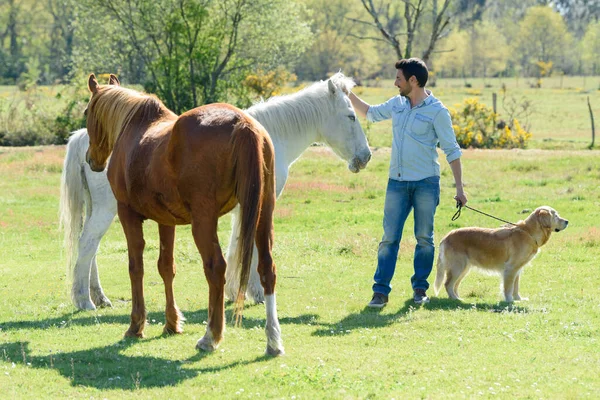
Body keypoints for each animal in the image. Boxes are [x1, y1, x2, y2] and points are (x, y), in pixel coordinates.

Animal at [61, 72, 370, 310]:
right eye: (351, 116)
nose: (365, 157)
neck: (267, 137)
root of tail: (84, 141)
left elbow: (237, 244)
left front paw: (236, 291)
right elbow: (248, 246)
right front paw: (253, 292)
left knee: (90, 248)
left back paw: (98, 298)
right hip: (108, 209)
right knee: (87, 244)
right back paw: (84, 301)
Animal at [82, 73, 284, 354]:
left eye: (87, 112)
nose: (91, 159)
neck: (134, 129)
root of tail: (243, 124)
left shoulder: (128, 214)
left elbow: (136, 267)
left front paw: (136, 325)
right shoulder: (166, 221)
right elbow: (166, 267)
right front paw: (171, 323)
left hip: (204, 222)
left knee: (215, 268)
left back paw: (210, 336)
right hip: (263, 215)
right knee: (267, 268)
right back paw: (273, 339)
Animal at [436, 206, 568, 304]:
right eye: (556, 216)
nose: (567, 221)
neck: (529, 233)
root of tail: (446, 237)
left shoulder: (517, 269)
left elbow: (516, 286)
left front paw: (518, 299)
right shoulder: (510, 268)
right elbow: (508, 287)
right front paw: (509, 300)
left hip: (464, 268)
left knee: (454, 285)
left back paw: (457, 298)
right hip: (458, 267)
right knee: (448, 284)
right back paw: (455, 299)